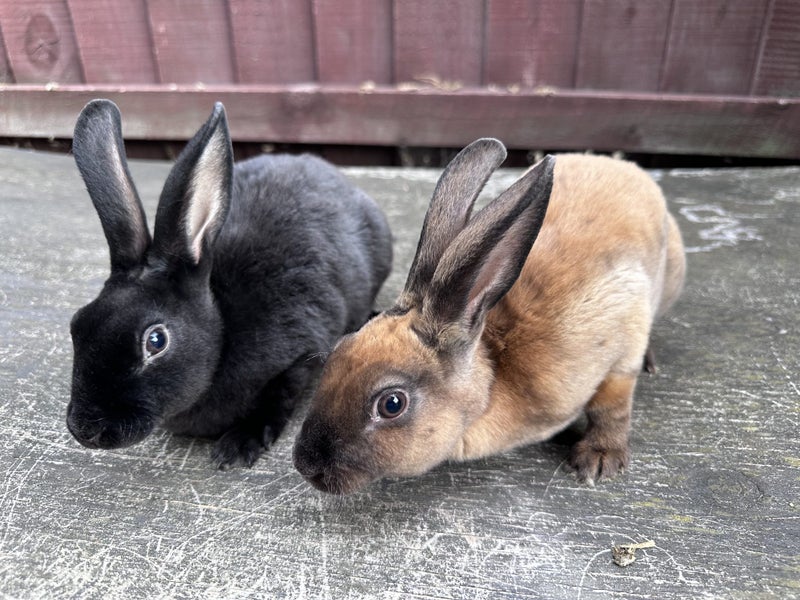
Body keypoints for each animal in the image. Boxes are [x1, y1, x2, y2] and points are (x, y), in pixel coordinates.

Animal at [66, 99, 392, 469]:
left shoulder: (302, 355)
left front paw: (237, 446)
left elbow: (278, 397)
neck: (222, 328)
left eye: (155, 340)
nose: (84, 430)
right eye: (77, 323)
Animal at [293, 138, 686, 494]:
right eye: (339, 349)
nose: (304, 465)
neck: (493, 376)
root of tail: (628, 169)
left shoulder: (622, 329)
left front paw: (598, 461)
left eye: (392, 404)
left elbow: (612, 405)